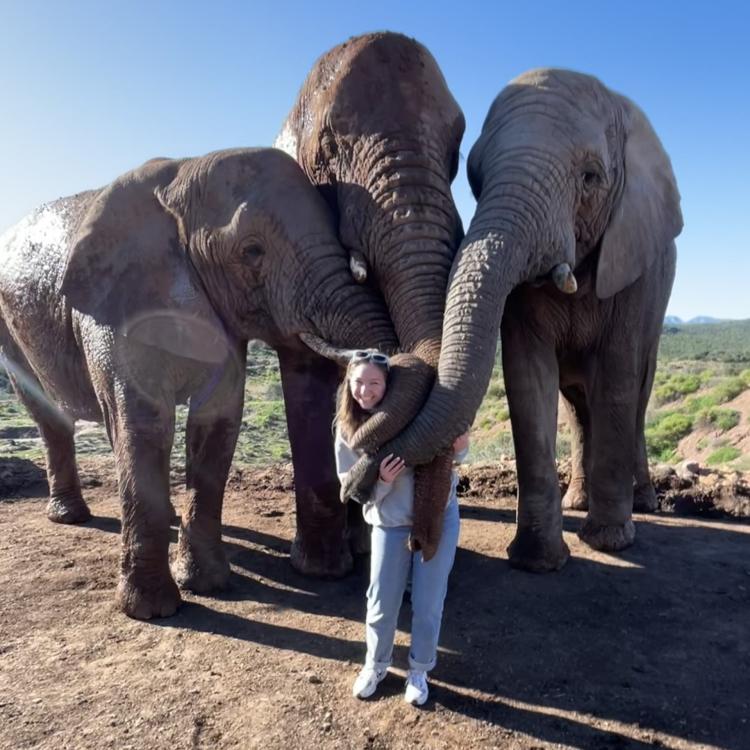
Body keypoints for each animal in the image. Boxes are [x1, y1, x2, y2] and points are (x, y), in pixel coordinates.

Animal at [0, 148, 400, 624]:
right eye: (251, 251)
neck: (181, 173)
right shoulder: (116, 306)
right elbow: (145, 423)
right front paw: (153, 611)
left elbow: (217, 420)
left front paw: (208, 584)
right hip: (9, 332)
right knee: (48, 413)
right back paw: (70, 517)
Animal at [344, 72, 684, 576]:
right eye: (475, 177)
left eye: (590, 178)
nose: (354, 486)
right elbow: (527, 379)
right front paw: (536, 562)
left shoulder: (634, 264)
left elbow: (618, 378)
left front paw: (609, 543)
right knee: (578, 405)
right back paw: (580, 501)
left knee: (635, 392)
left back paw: (640, 505)